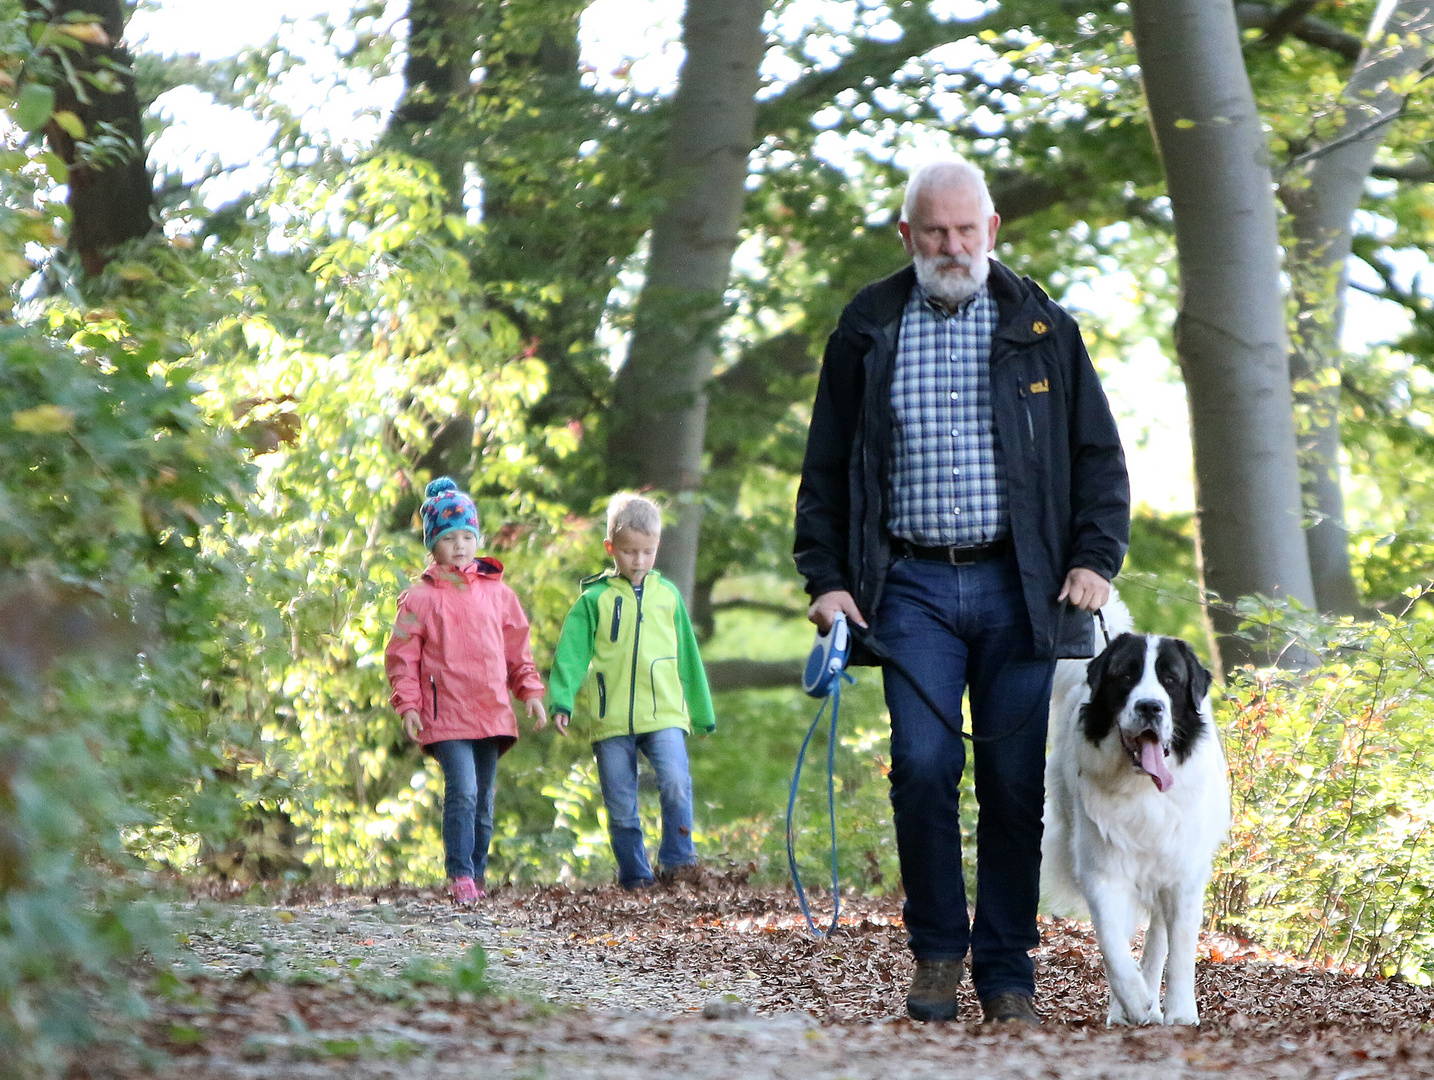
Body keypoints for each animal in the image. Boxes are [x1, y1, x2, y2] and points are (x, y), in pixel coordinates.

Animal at [1043, 602, 1233, 1021]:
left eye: (1171, 679)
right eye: (1126, 676)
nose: (1150, 706)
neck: (1143, 790)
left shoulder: (1183, 874)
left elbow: (1180, 951)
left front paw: (1180, 1012)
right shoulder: (1103, 870)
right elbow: (1112, 946)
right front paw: (1132, 1000)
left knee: (1159, 938)